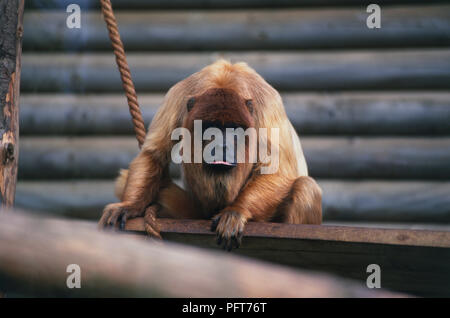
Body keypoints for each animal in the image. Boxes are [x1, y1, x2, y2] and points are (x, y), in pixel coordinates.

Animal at [100, 59, 322, 248]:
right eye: (210, 129)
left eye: (233, 130)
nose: (222, 147)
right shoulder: (178, 96)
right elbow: (153, 154)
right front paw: (129, 205)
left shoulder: (267, 106)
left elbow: (279, 170)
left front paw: (236, 211)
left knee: (305, 187)